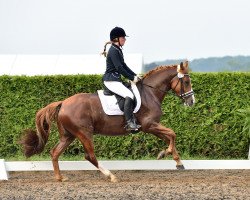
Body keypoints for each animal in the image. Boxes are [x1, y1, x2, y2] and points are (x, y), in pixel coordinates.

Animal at [20, 60, 194, 182]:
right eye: (186, 82)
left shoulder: (152, 127)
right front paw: (166, 154)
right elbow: (172, 134)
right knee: (89, 156)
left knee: (55, 152)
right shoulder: (149, 125)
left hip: (68, 135)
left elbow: (169, 136)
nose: (192, 102)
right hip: (84, 133)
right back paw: (111, 176)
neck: (150, 93)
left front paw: (177, 161)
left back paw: (60, 178)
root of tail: (63, 103)